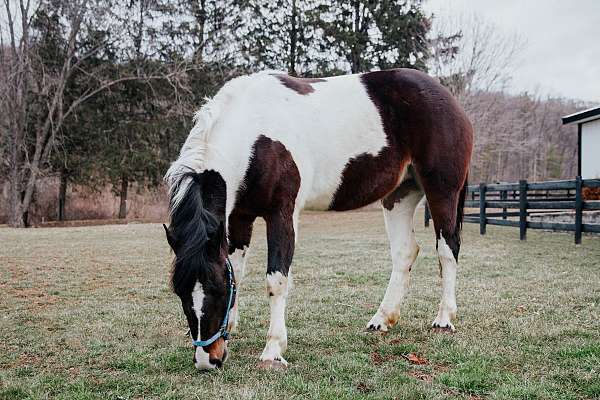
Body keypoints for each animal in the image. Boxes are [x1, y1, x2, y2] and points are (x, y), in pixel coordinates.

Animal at [164, 68, 474, 368]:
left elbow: (276, 280)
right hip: (399, 196)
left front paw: (273, 350)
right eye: (179, 292)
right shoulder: (241, 216)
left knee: (447, 249)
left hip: (441, 192)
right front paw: (232, 327)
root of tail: (450, 101)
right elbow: (237, 272)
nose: (208, 360)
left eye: (216, 289)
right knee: (404, 253)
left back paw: (444, 319)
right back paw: (381, 319)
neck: (255, 133)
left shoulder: (282, 215)